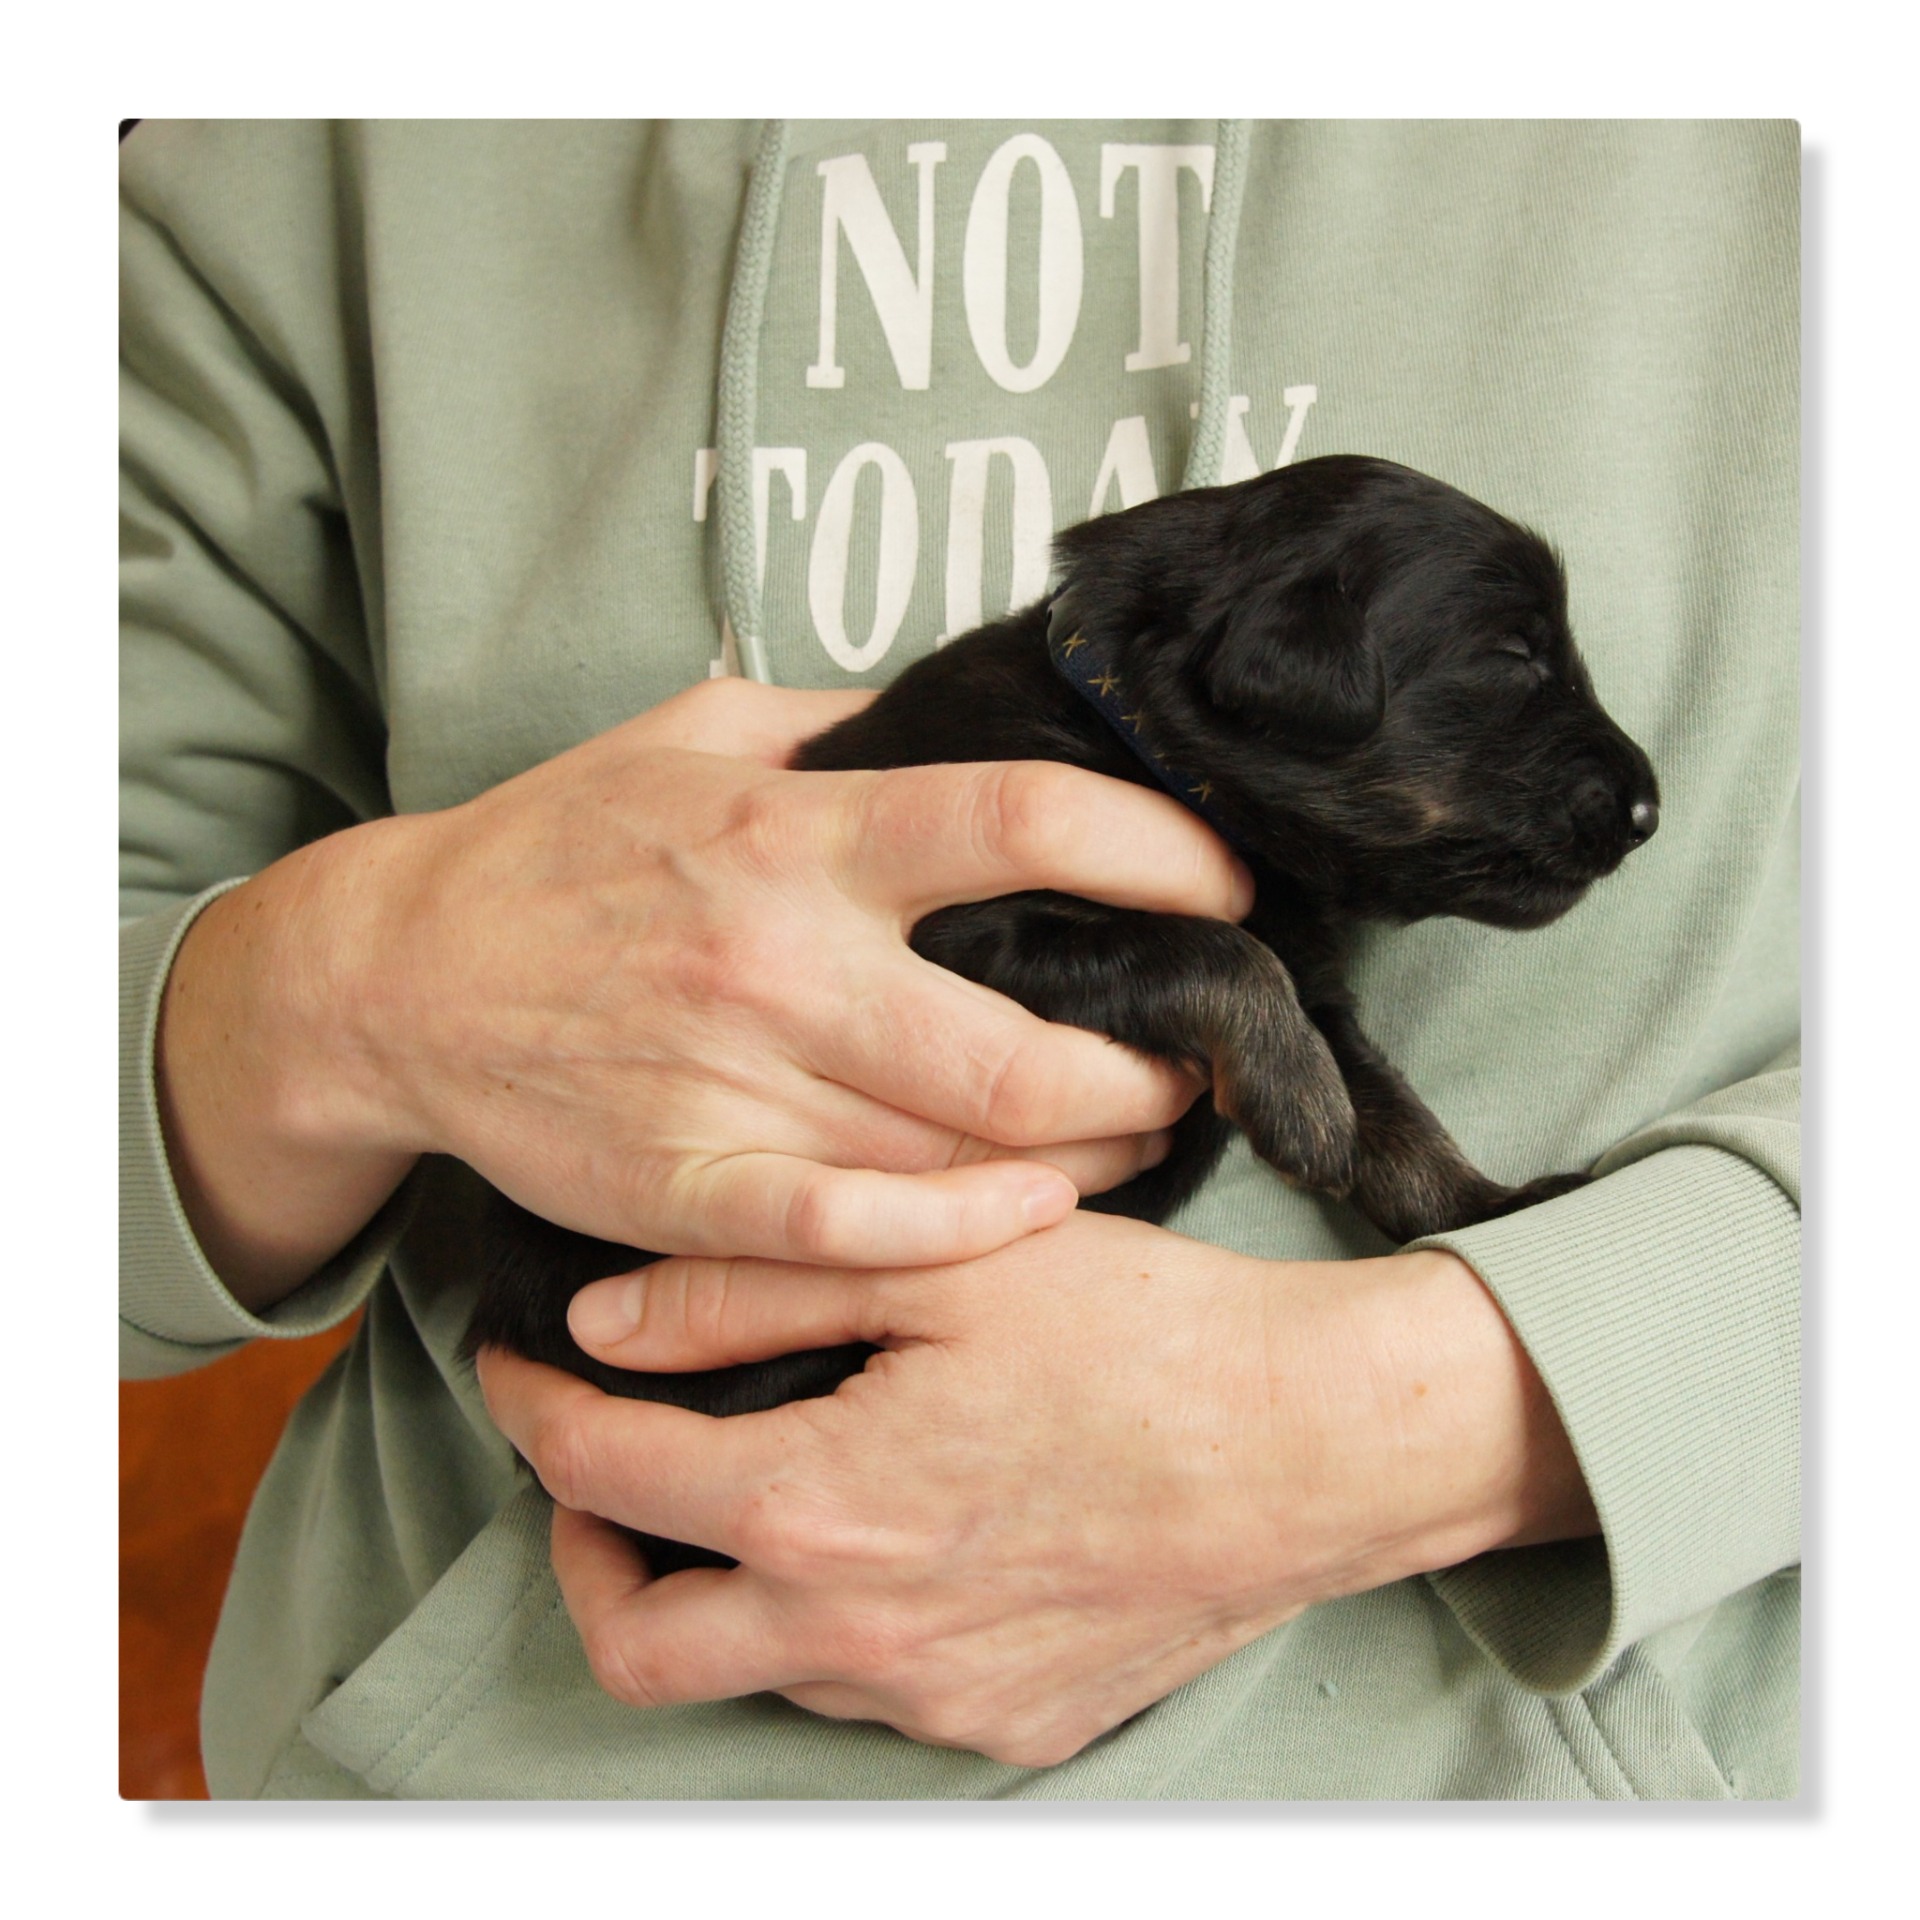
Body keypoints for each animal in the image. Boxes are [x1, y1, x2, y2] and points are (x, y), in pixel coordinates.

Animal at [463, 454, 1661, 1571]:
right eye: (1512, 656)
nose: (1653, 808)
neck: (1149, 749)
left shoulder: (1317, 975)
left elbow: (1399, 1121)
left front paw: (1491, 1204)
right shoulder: (968, 936)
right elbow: (1212, 949)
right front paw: (1300, 1095)